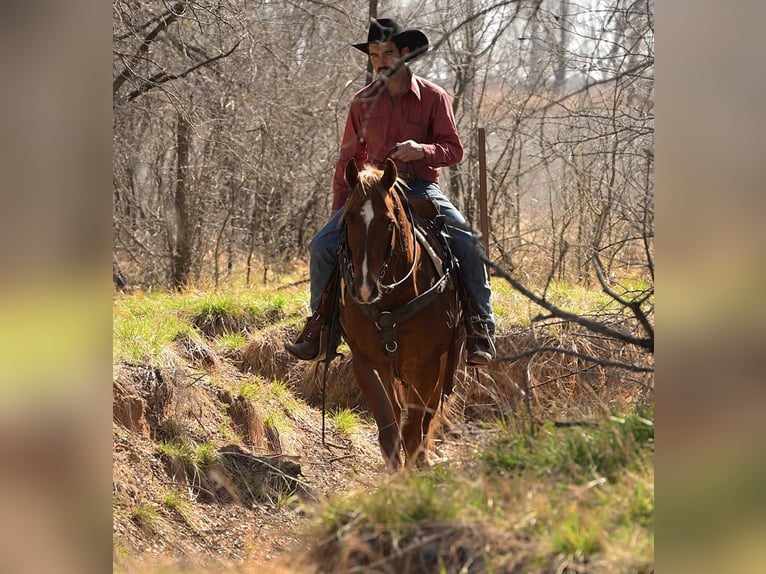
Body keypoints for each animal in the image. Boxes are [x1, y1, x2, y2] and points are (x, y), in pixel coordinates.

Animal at [338, 157, 463, 470]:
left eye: (388, 222)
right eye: (348, 219)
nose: (365, 289)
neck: (391, 303)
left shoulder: (428, 365)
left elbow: (413, 428)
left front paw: (416, 468)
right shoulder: (366, 363)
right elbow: (390, 432)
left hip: (444, 362)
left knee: (428, 415)